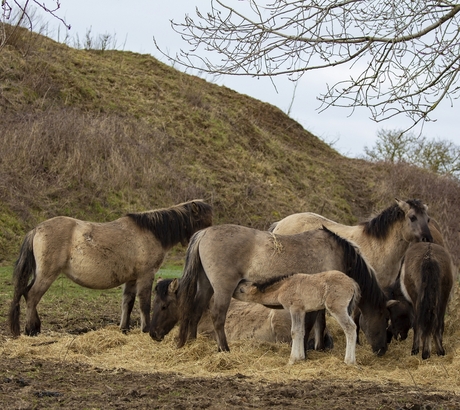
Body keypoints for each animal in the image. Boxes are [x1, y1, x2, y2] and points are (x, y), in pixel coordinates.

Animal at [8, 199, 214, 336]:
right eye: (205, 222)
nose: (207, 244)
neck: (151, 232)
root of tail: (36, 229)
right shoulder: (146, 276)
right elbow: (144, 303)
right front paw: (145, 329)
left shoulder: (131, 279)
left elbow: (128, 303)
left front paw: (124, 328)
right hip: (47, 275)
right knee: (32, 296)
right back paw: (31, 329)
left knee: (27, 293)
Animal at [149, 224, 390, 356]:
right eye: (383, 319)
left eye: (163, 306)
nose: (382, 349)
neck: (337, 251)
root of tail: (205, 233)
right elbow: (313, 323)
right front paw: (308, 349)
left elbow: (319, 322)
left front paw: (317, 348)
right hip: (222, 287)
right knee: (218, 316)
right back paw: (224, 349)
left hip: (207, 285)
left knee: (196, 310)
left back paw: (191, 342)